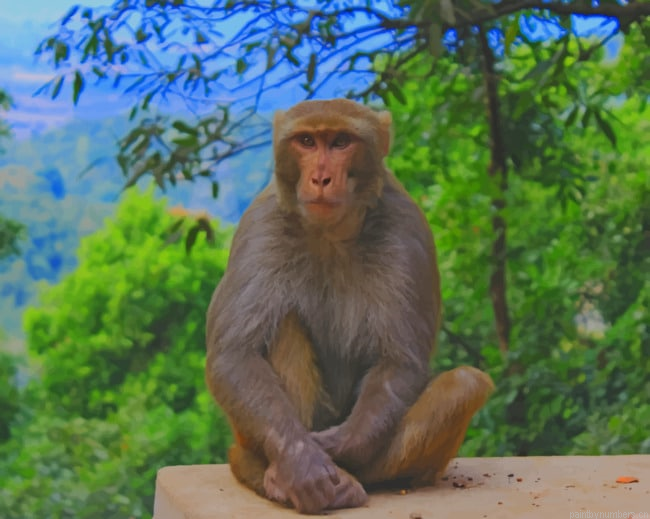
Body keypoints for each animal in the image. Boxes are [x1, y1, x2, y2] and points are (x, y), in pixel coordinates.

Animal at [205, 98, 494, 515]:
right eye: (307, 141)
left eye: (341, 142)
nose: (321, 178)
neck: (330, 233)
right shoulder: (261, 223)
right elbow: (234, 354)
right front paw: (304, 462)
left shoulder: (406, 227)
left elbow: (399, 361)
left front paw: (332, 446)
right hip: (251, 434)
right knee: (282, 324)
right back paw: (272, 476)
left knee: (465, 383)